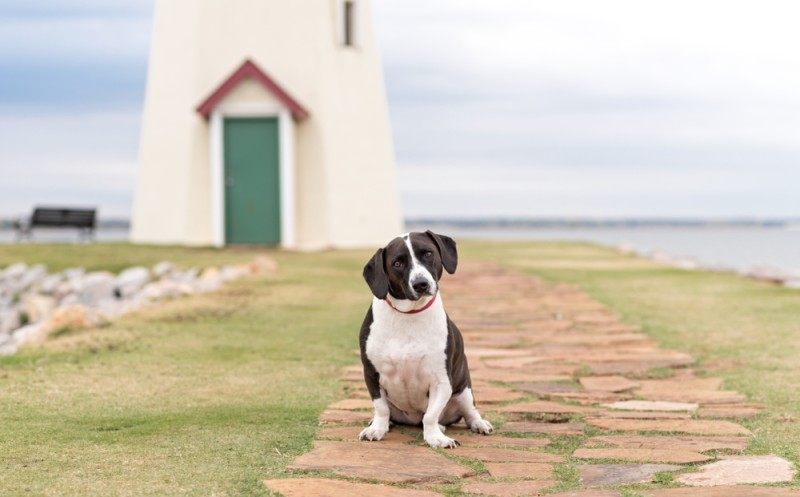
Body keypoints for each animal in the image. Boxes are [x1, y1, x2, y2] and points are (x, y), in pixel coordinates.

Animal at [358, 231, 494, 448]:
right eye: (397, 263)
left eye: (428, 253)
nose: (420, 284)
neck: (409, 315)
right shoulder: (372, 374)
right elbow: (381, 408)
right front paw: (377, 429)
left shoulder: (441, 380)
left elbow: (430, 416)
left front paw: (435, 437)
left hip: (464, 391)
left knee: (469, 412)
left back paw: (477, 424)